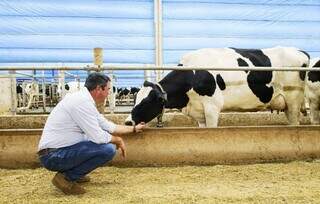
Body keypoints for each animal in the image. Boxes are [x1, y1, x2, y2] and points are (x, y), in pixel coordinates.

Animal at [125, 46, 310, 126]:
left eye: (146, 102)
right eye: (135, 100)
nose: (127, 122)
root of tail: (300, 51)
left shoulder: (212, 108)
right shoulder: (199, 112)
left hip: (293, 101)